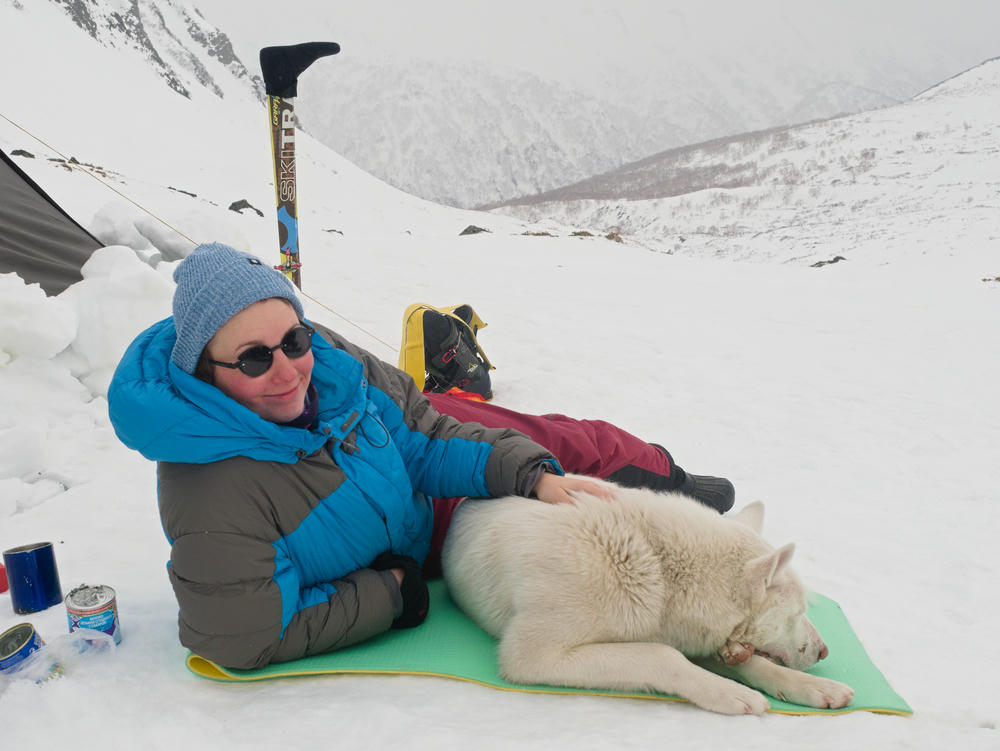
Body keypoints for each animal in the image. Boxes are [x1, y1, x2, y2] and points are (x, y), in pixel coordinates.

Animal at [442, 482, 856, 716]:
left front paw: (812, 686)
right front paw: (726, 692)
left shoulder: (687, 631)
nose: (824, 651)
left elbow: (751, 663)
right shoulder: (533, 656)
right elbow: (662, 656)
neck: (655, 564)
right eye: (797, 612)